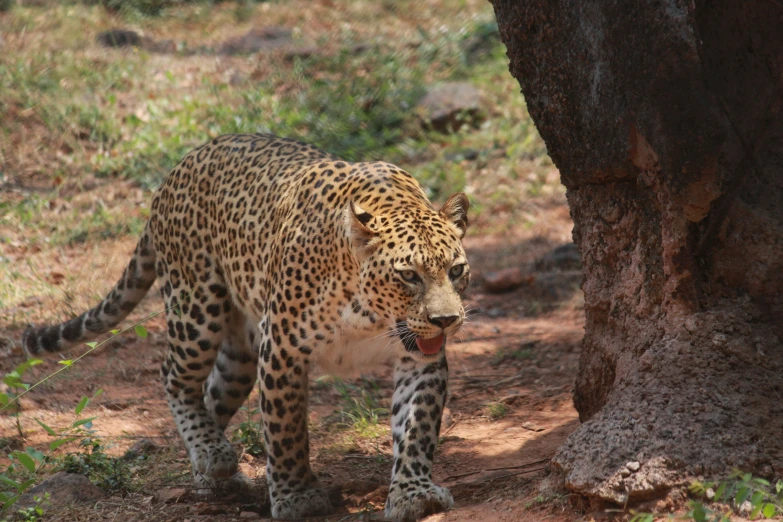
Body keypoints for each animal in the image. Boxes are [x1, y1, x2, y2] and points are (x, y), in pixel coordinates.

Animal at [21, 133, 468, 520]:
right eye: (408, 276)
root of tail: (178, 169)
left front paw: (413, 493)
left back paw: (213, 470)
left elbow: (417, 425)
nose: (447, 320)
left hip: (239, 353)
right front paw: (297, 496)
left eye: (457, 270)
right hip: (196, 309)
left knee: (213, 392)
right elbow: (286, 428)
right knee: (173, 376)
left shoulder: (420, 359)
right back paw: (213, 455)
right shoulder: (283, 347)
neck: (371, 314)